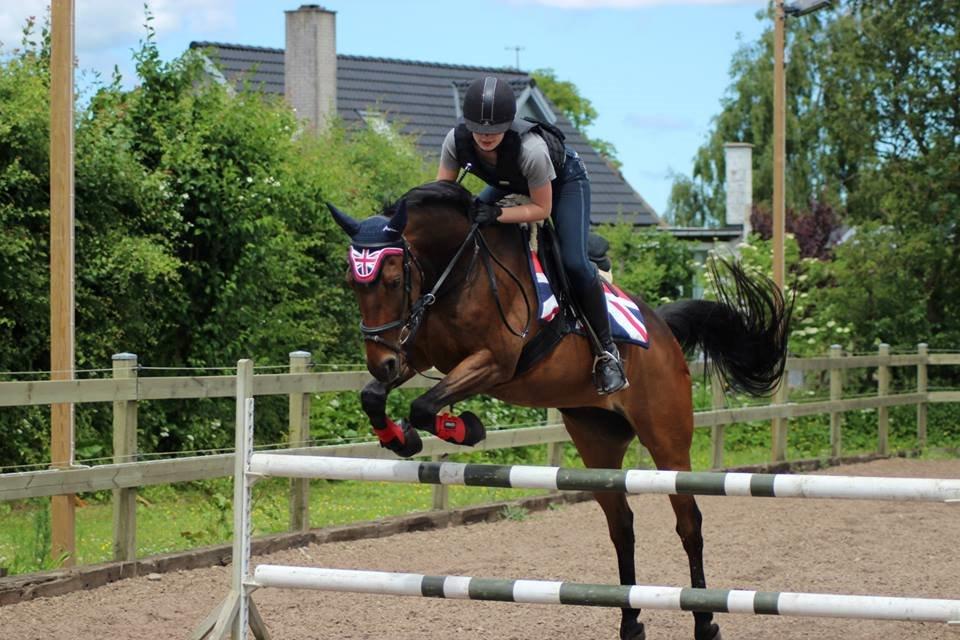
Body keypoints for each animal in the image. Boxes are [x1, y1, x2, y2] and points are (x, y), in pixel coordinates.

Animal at [326, 179, 792, 640]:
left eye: (391, 279)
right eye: (352, 280)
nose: (380, 361)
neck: (459, 270)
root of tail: (663, 332)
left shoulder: (493, 362)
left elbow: (424, 404)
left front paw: (464, 428)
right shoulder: (419, 356)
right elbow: (374, 396)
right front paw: (399, 437)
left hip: (667, 440)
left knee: (688, 522)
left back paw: (705, 620)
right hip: (596, 442)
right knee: (621, 526)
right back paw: (630, 622)